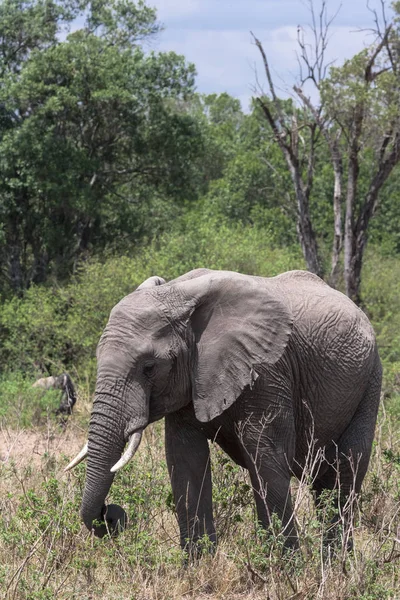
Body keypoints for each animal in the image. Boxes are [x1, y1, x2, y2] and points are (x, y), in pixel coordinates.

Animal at [65, 270, 382, 556]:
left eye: (149, 368)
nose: (112, 514)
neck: (179, 295)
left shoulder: (267, 372)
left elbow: (265, 457)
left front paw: (284, 568)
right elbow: (185, 459)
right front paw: (199, 567)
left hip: (369, 380)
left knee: (344, 473)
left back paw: (337, 565)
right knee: (324, 483)